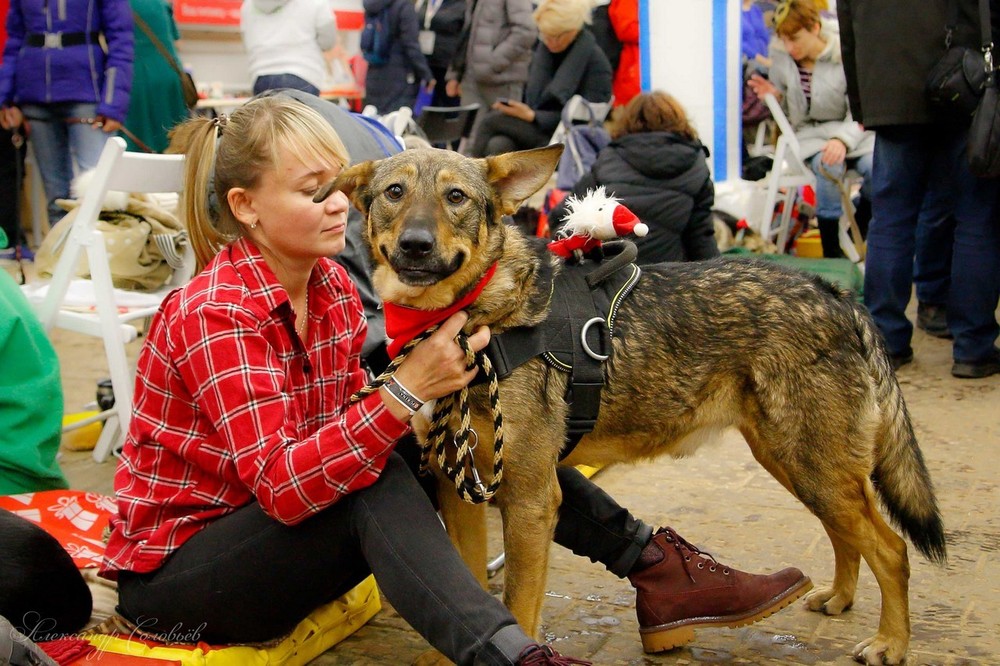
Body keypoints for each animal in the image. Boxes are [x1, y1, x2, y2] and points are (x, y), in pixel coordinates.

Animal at [326, 145, 944, 664]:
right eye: (394, 192)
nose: (416, 244)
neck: (473, 320)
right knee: (850, 536)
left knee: (892, 549)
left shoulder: (529, 499)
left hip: (811, 467)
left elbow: (517, 606)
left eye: (455, 197)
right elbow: (471, 586)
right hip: (800, 467)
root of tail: (835, 294)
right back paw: (839, 597)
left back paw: (890, 644)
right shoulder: (460, 489)